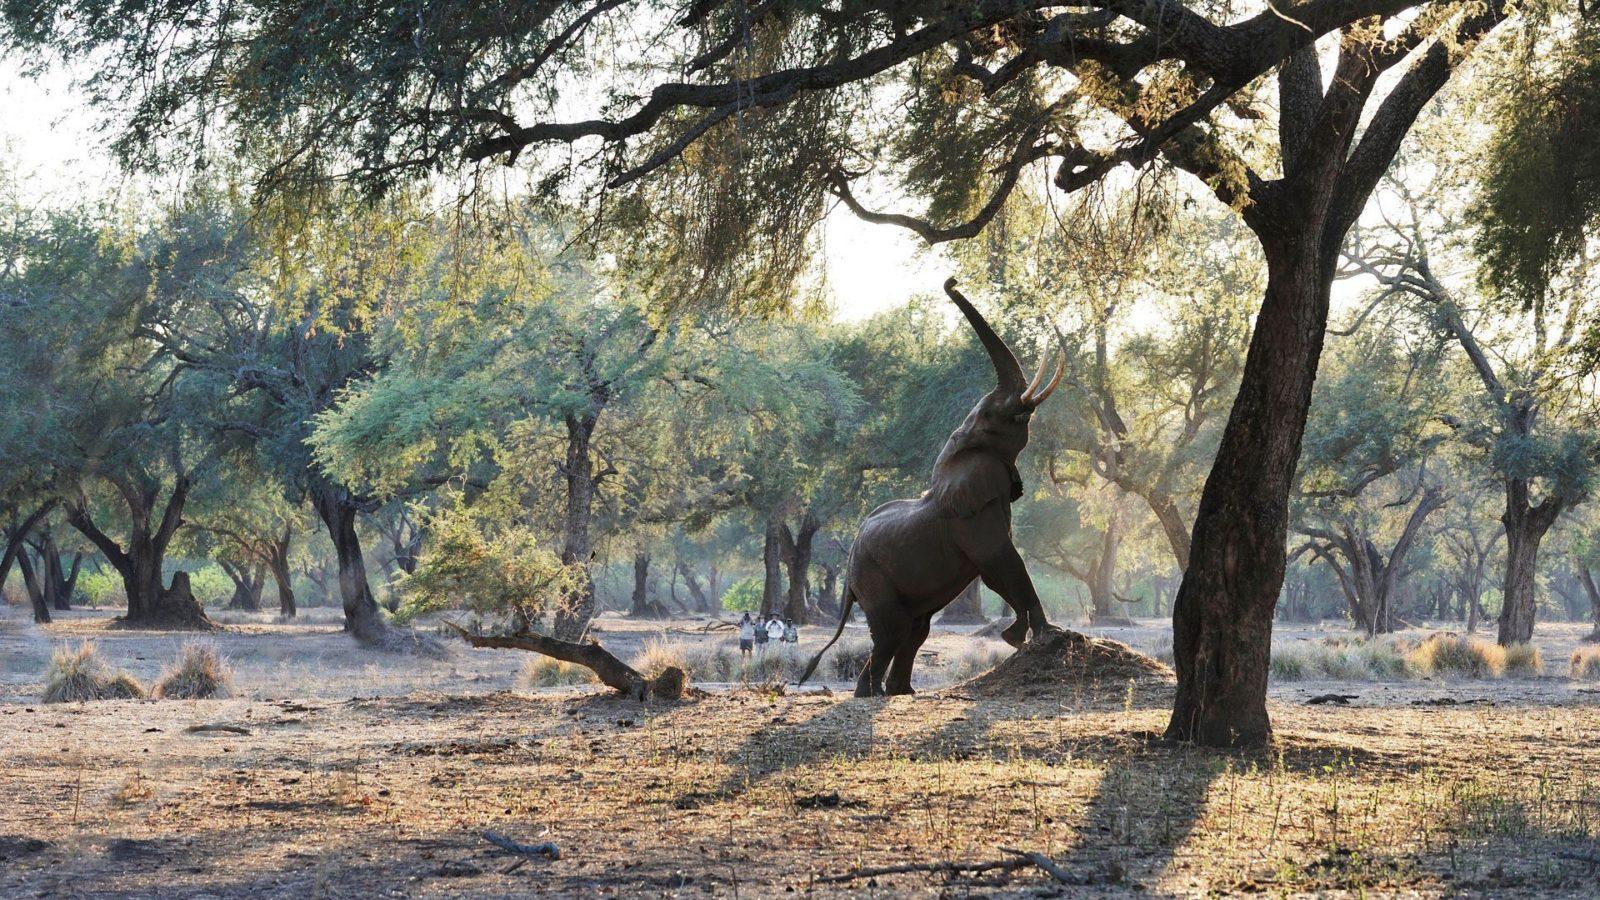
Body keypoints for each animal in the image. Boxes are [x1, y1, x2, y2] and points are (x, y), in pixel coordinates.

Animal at [800, 277, 1062, 698]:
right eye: (992, 416)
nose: (951, 280)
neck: (956, 448)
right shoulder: (969, 517)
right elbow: (999, 559)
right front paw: (1039, 635)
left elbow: (995, 569)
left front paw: (1021, 636)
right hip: (871, 575)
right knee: (892, 630)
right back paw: (872, 695)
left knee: (914, 630)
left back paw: (899, 693)